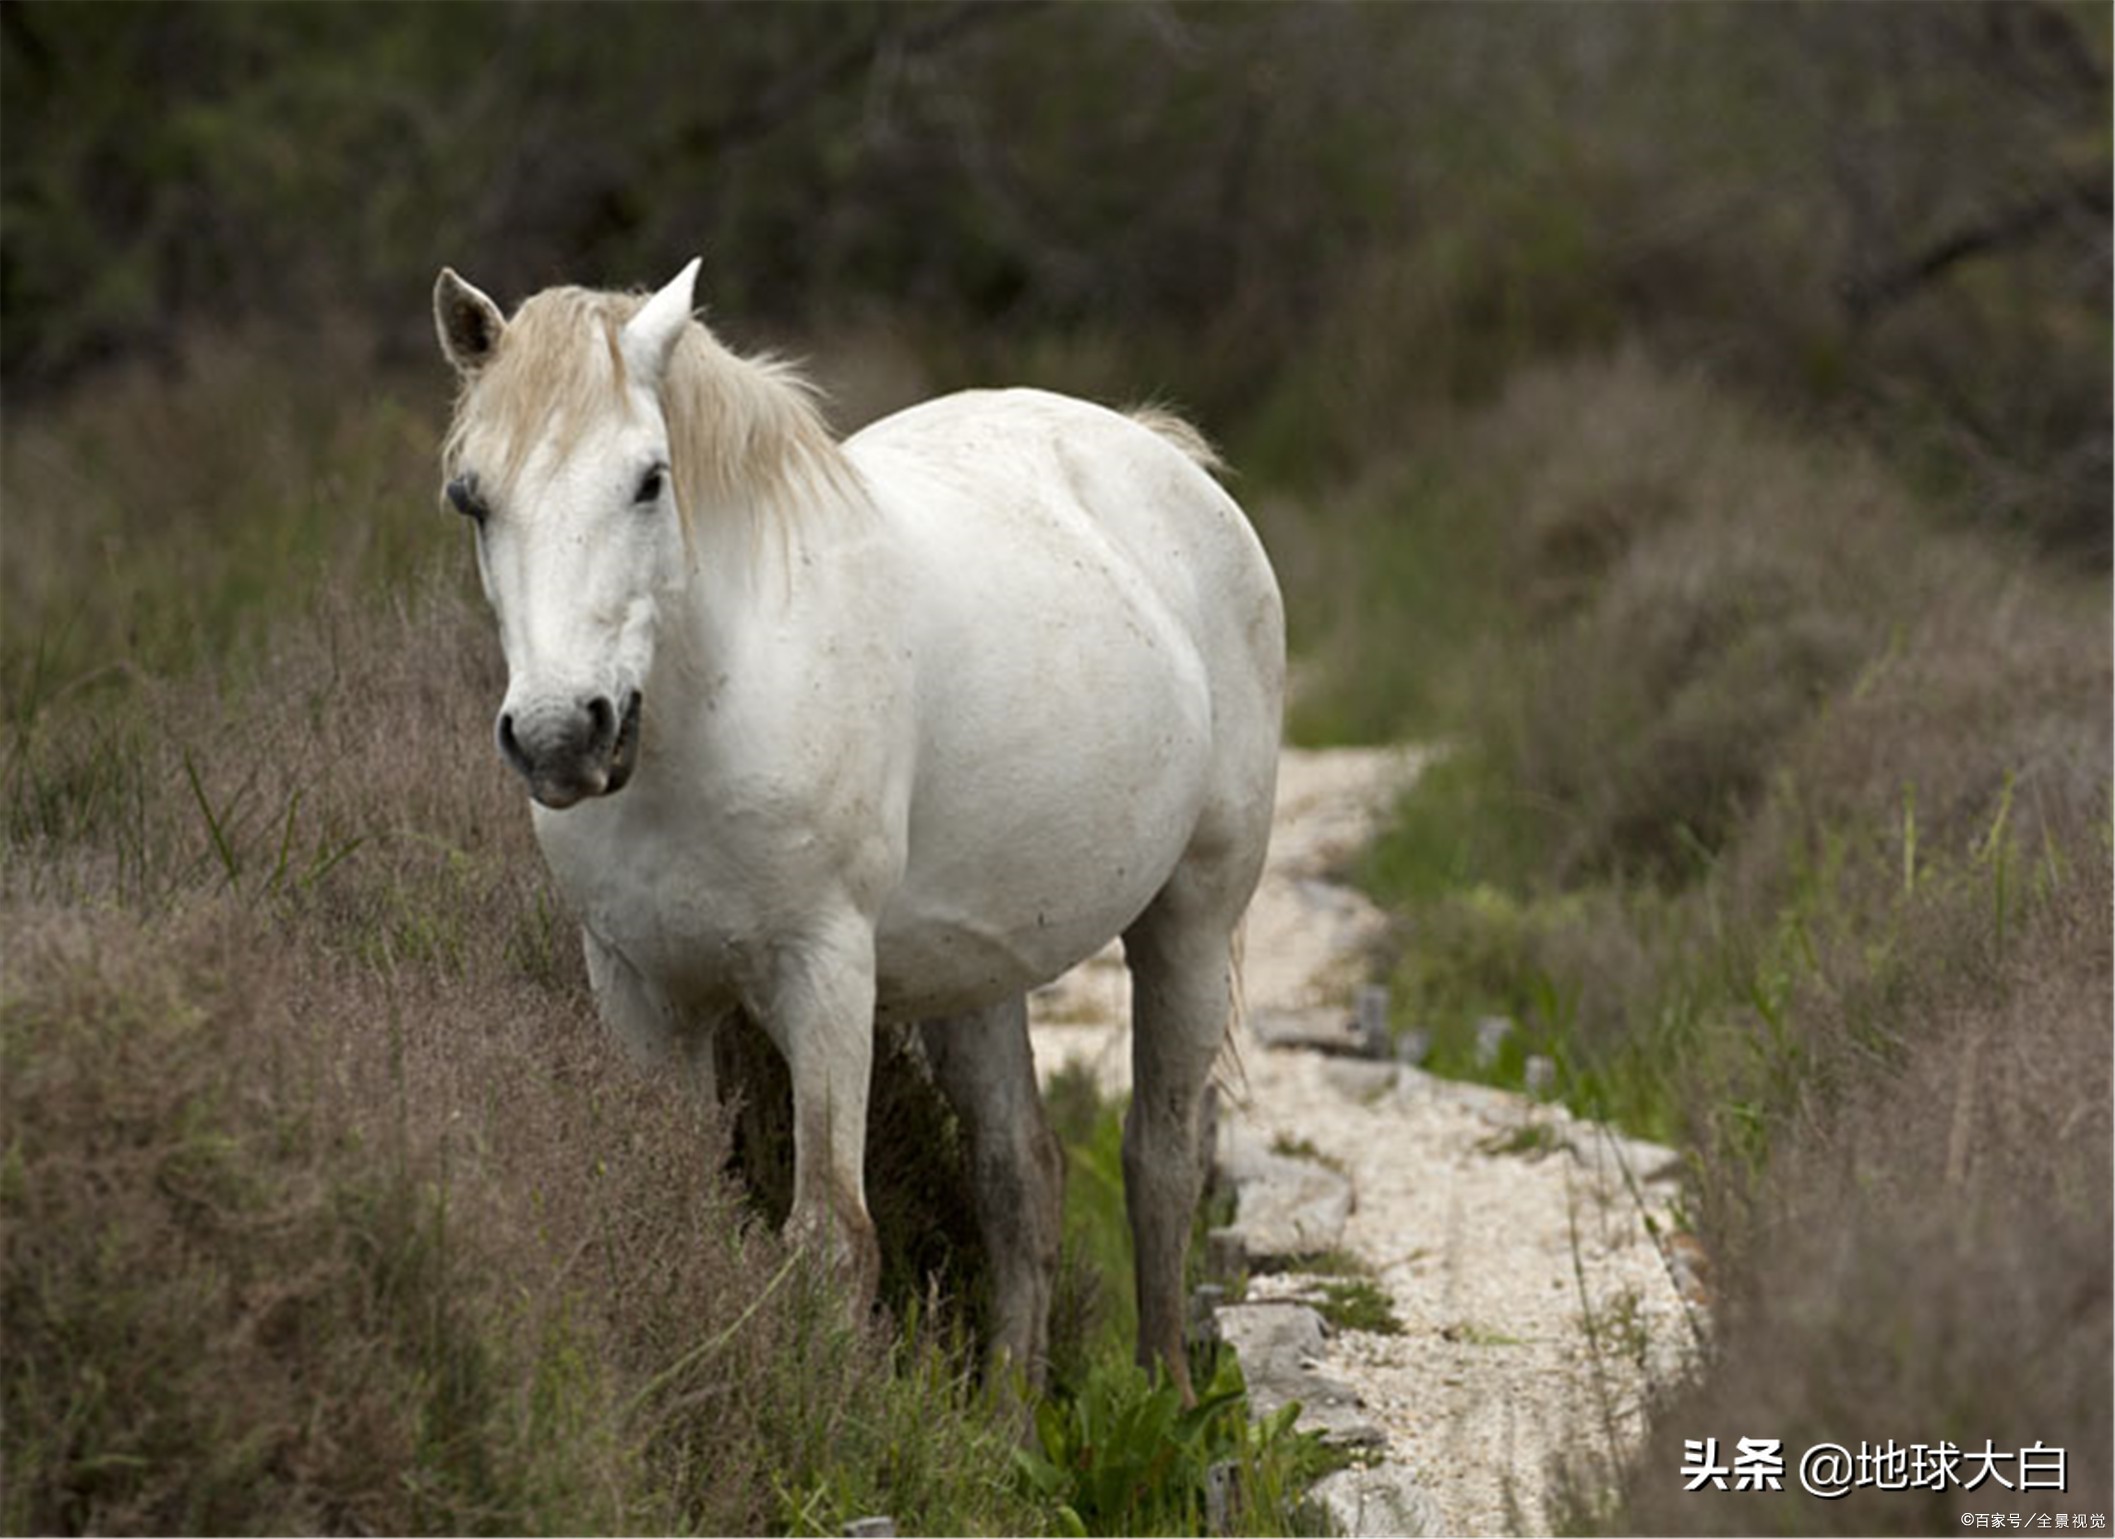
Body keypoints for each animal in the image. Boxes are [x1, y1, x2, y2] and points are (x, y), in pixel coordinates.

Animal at [431, 258, 1284, 1396]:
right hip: (978, 972)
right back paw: (1007, 1428)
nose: (564, 734)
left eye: (650, 479)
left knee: (1161, 1161)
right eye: (472, 497)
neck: (710, 716)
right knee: (1020, 1177)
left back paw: (1168, 1404)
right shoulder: (640, 988)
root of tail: (1161, 455)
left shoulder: (824, 975)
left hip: (1189, 922)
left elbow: (831, 1241)